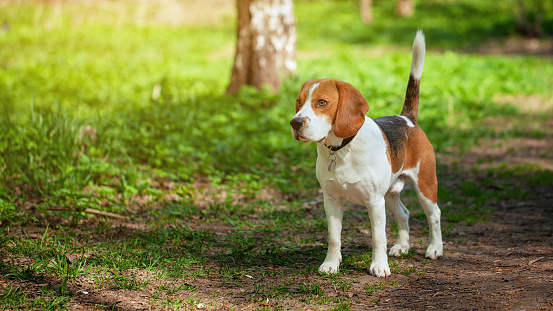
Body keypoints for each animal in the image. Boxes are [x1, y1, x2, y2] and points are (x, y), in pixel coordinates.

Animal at [292, 30, 442, 278]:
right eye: (298, 102)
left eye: (321, 102)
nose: (294, 123)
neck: (342, 149)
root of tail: (406, 118)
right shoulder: (331, 200)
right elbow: (334, 238)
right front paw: (331, 264)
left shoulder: (374, 202)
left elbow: (378, 237)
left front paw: (379, 266)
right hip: (390, 193)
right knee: (404, 213)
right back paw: (402, 246)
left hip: (425, 186)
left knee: (434, 215)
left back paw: (435, 248)